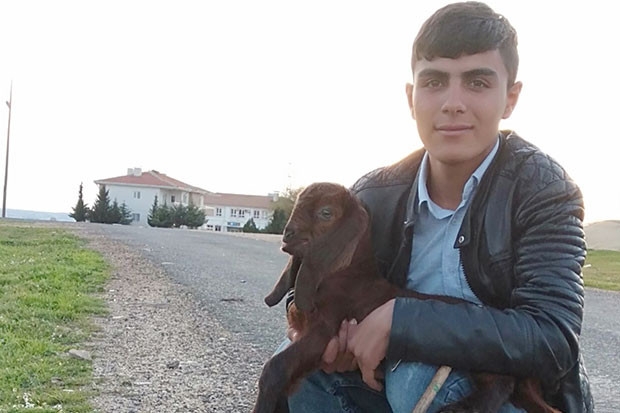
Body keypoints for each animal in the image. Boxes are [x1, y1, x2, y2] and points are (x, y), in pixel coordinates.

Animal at [252, 182, 560, 413]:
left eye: (326, 213)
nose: (287, 234)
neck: (346, 275)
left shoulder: (325, 330)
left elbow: (276, 368)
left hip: (482, 359)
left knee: (501, 383)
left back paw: (463, 407)